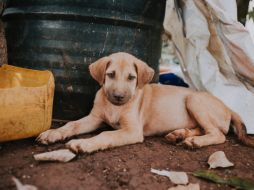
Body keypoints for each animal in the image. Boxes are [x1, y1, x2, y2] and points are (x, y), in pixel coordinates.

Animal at [36, 51, 253, 152]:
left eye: (132, 78)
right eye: (110, 74)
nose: (118, 96)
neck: (115, 108)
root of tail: (229, 107)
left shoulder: (132, 130)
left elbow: (106, 134)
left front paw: (84, 144)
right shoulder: (94, 118)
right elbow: (72, 125)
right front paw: (52, 134)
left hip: (194, 99)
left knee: (218, 134)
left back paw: (194, 142)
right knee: (204, 129)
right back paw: (180, 134)